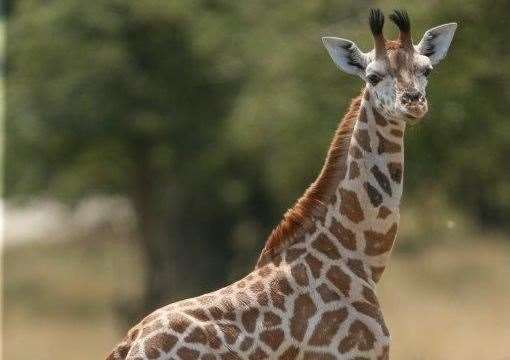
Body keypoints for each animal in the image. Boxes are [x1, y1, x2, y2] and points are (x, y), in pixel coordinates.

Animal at [106, 9, 458, 360]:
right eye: (372, 77)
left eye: (426, 69)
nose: (413, 102)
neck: (358, 258)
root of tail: (128, 345)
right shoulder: (353, 353)